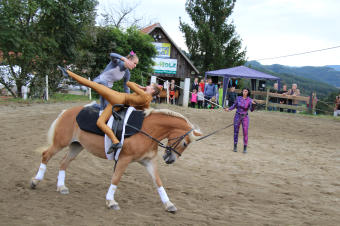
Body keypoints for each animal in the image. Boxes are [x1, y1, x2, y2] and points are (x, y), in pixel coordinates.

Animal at [30, 103, 202, 213]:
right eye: (185, 143)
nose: (170, 159)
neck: (146, 130)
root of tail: (67, 111)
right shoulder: (124, 159)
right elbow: (116, 179)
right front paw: (111, 201)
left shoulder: (149, 162)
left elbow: (158, 182)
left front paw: (168, 204)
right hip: (61, 143)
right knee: (46, 155)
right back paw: (35, 181)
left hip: (76, 146)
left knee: (64, 162)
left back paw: (61, 186)